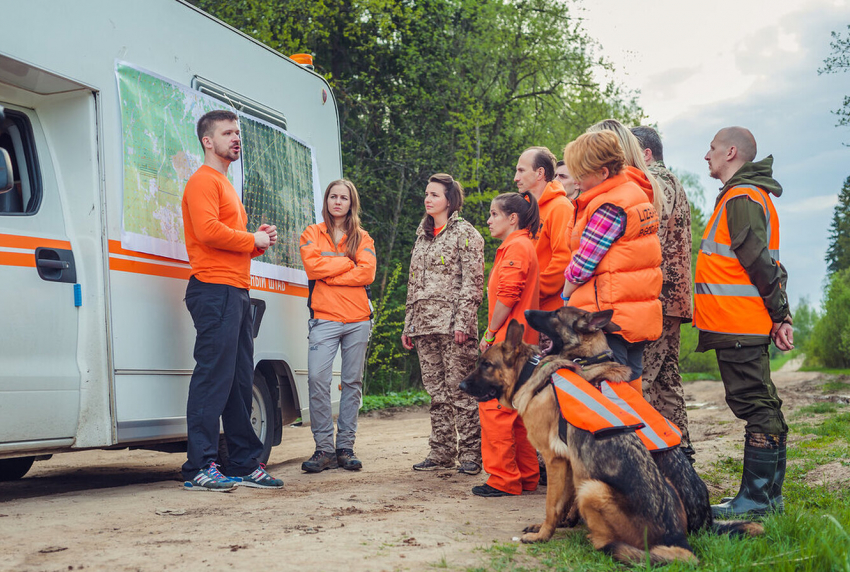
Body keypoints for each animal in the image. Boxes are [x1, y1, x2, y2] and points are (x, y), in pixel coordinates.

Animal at [458, 308, 760, 564]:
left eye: (485, 364)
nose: (460, 385)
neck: (531, 373)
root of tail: (681, 540)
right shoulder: (571, 462)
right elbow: (562, 502)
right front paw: (556, 524)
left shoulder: (555, 460)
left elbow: (551, 505)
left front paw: (543, 535)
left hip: (593, 488)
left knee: (608, 542)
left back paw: (598, 540)